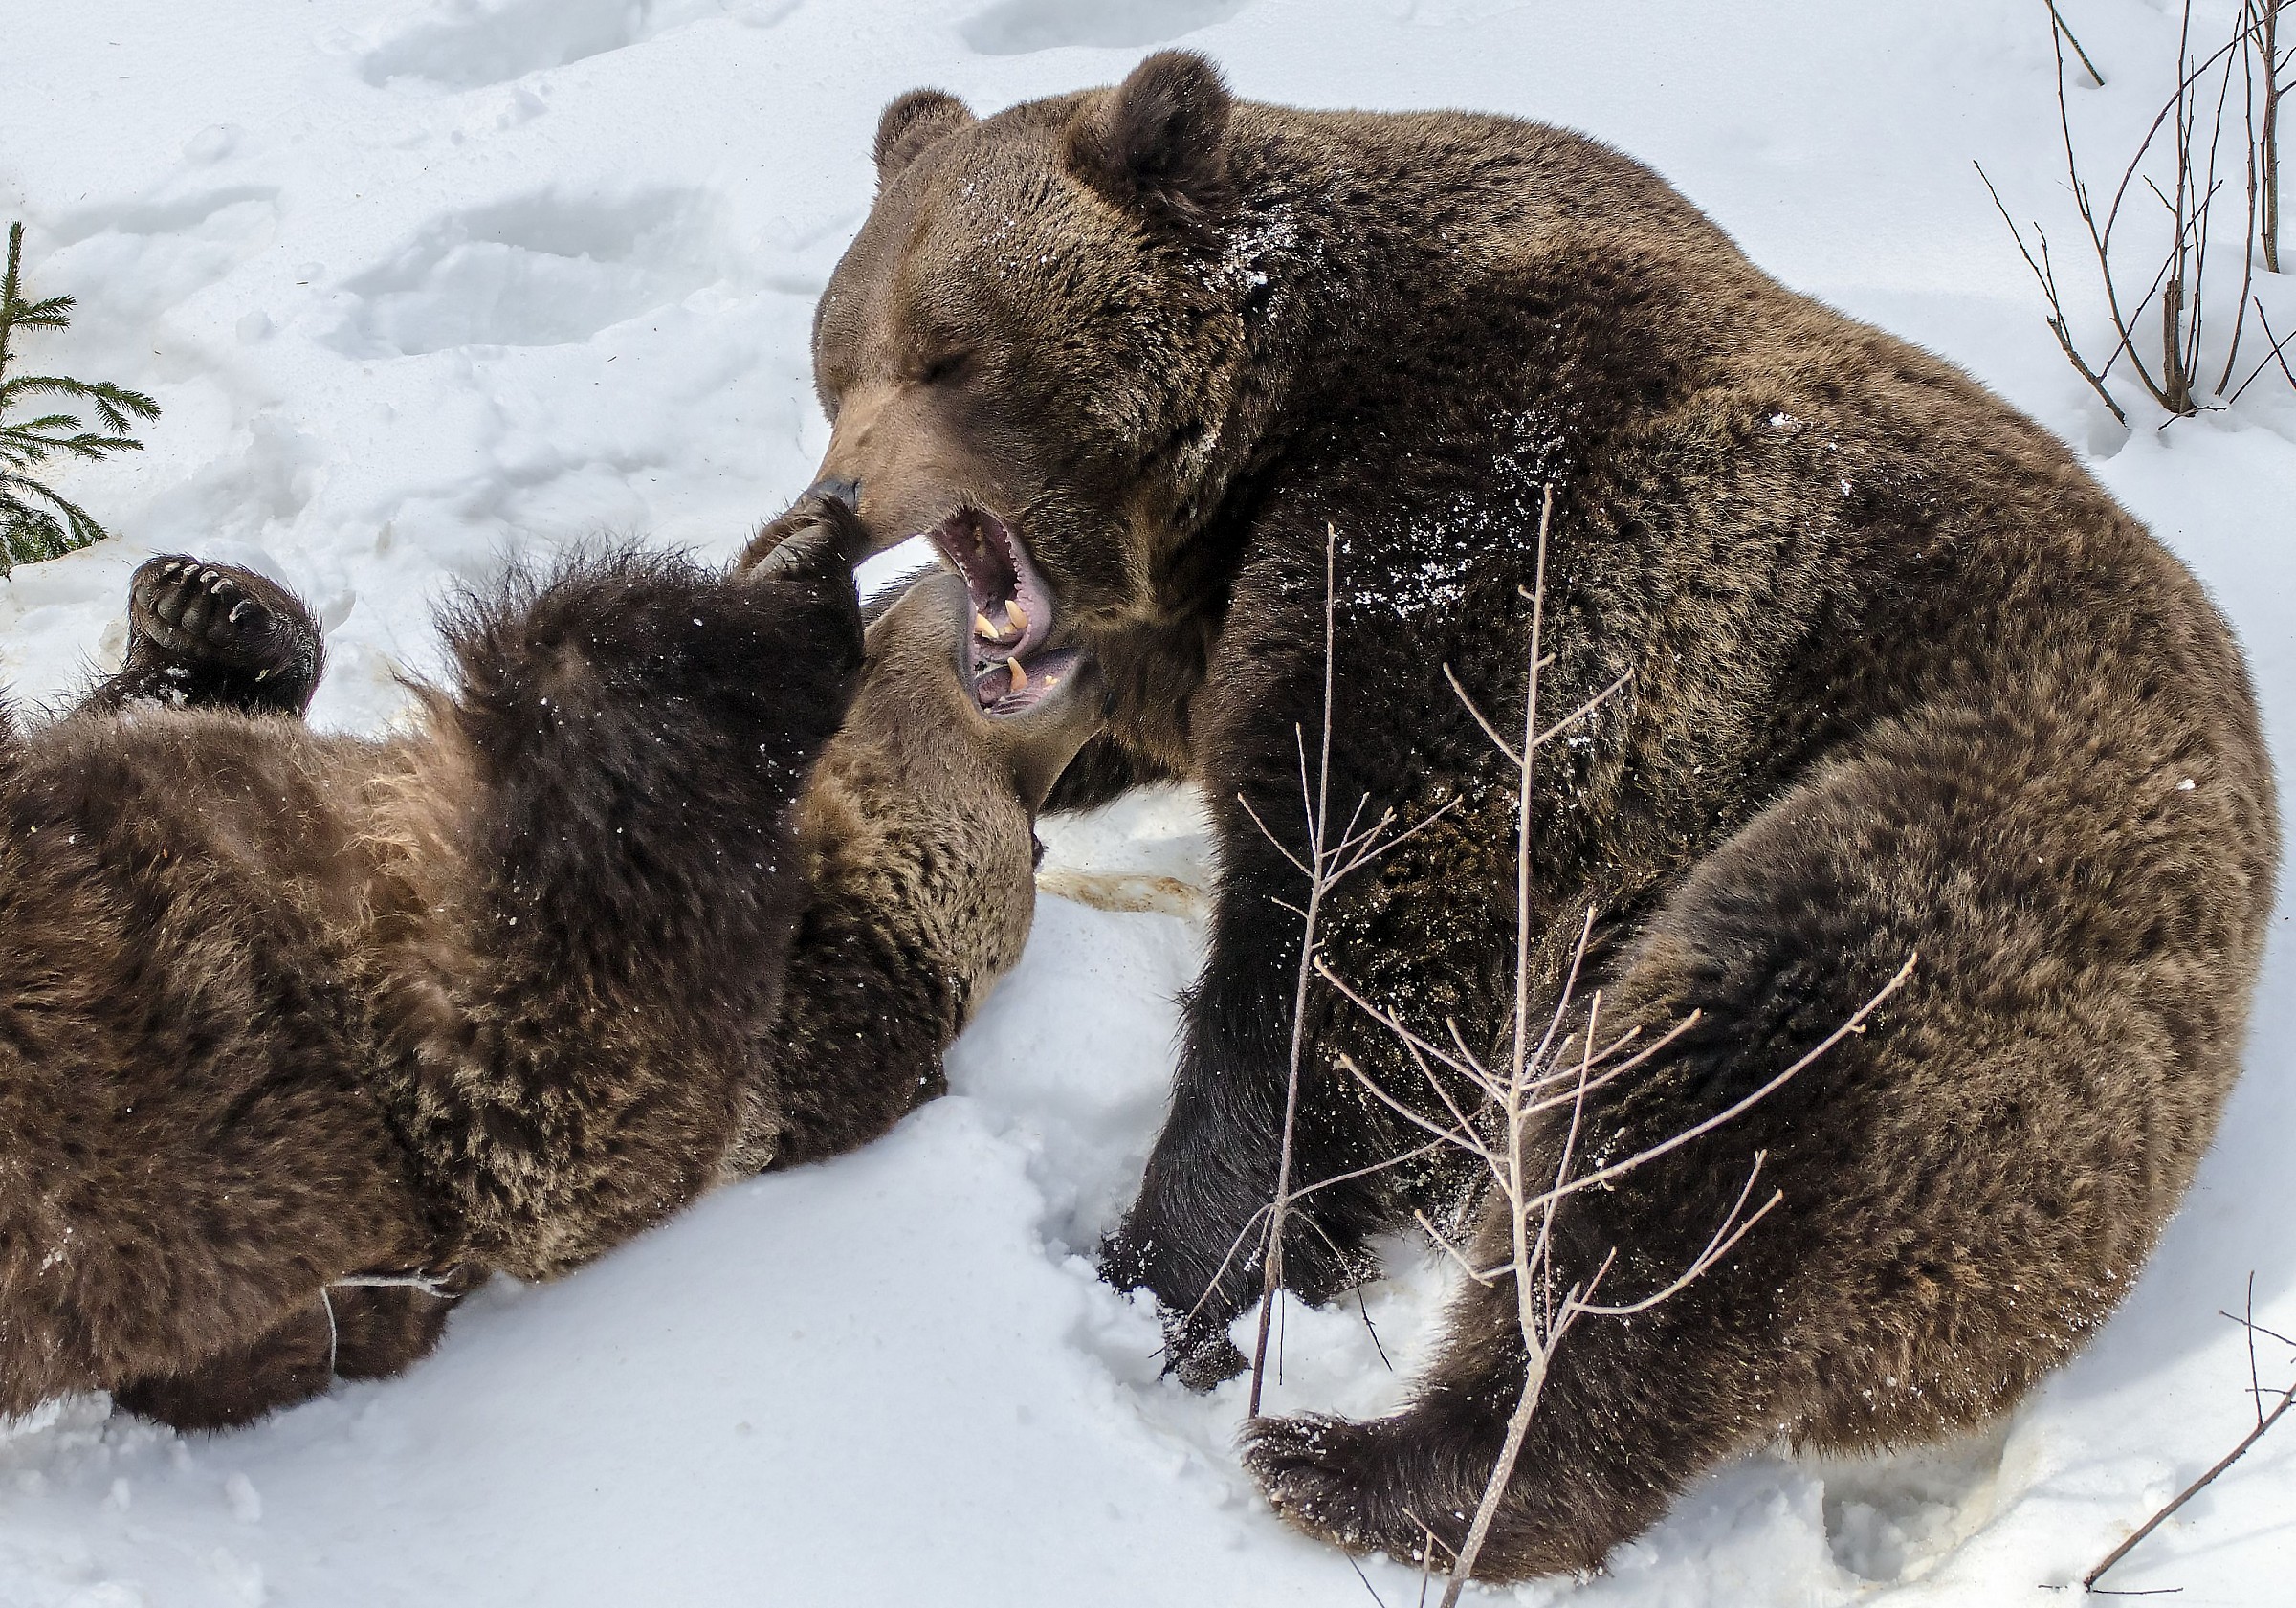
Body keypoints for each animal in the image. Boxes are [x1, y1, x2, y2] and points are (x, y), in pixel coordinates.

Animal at [792, 51, 2278, 1580]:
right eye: (842, 351)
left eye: (953, 353)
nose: (841, 493)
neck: (1278, 426)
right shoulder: (1199, 629)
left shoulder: (1485, 557)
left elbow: (1349, 953)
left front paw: (1166, 1275)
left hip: (1952, 873)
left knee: (1702, 1141)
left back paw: (1363, 1459)